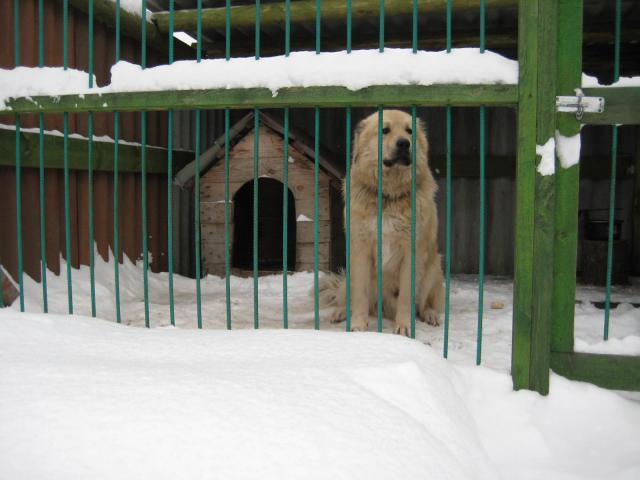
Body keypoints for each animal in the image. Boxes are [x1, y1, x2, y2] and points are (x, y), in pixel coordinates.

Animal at [320, 110, 444, 336]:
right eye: (384, 130)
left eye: (409, 131)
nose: (404, 143)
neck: (388, 196)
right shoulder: (360, 251)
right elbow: (360, 296)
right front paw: (358, 326)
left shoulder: (411, 253)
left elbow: (406, 297)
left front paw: (404, 327)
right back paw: (341, 312)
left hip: (433, 267)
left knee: (423, 303)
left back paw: (430, 315)